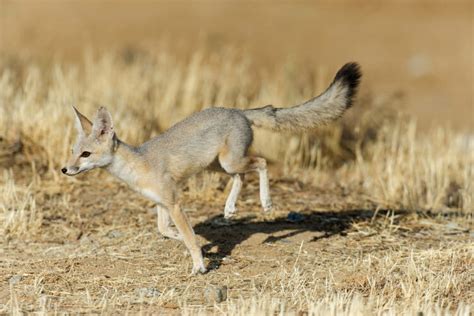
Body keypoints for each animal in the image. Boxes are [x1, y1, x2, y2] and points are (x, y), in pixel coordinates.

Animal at [61, 61, 362, 274]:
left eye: (85, 155)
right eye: (73, 152)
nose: (65, 170)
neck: (137, 163)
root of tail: (238, 110)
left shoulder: (174, 202)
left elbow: (188, 237)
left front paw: (200, 265)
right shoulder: (161, 203)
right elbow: (166, 230)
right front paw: (186, 240)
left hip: (229, 161)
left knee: (261, 163)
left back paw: (265, 202)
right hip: (219, 166)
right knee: (241, 176)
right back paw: (229, 208)